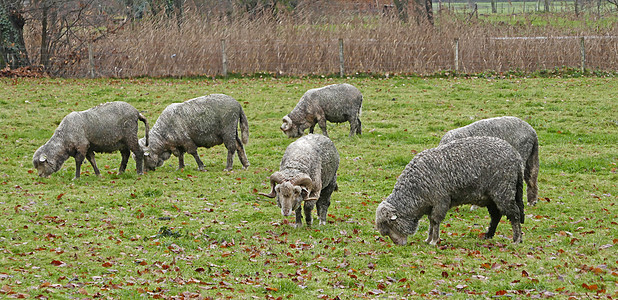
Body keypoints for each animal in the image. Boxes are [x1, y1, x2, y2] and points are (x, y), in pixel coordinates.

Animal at [372, 137, 524, 246]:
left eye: (390, 225)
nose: (399, 244)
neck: (415, 192)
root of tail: (517, 157)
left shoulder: (440, 201)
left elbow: (435, 221)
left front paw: (434, 241)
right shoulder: (431, 204)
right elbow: (431, 222)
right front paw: (428, 239)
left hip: (503, 190)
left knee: (514, 214)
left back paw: (517, 239)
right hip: (491, 196)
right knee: (496, 215)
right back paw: (488, 235)